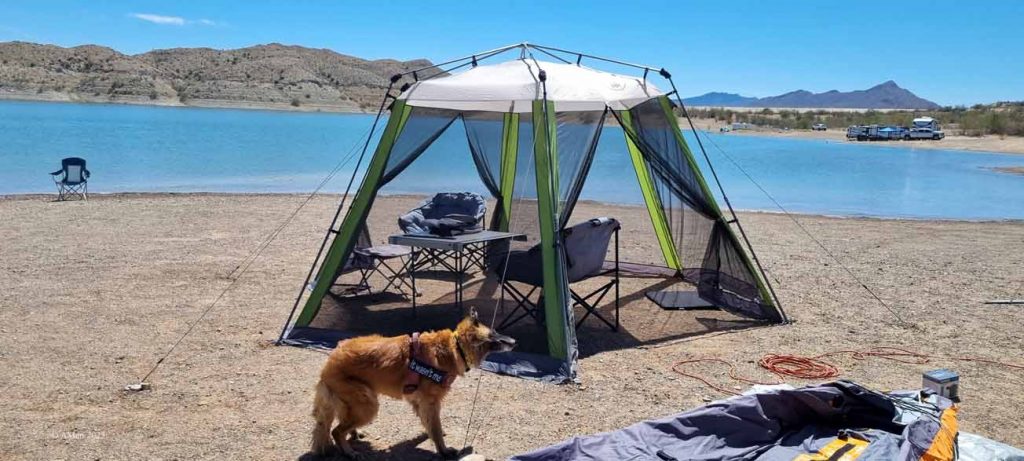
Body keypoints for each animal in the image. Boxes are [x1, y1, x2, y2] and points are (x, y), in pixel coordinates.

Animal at [310, 313, 516, 459]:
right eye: (494, 335)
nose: (515, 342)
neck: (454, 347)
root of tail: (330, 361)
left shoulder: (418, 401)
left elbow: (429, 423)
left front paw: (428, 435)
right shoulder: (430, 402)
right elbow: (435, 426)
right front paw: (443, 450)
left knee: (342, 423)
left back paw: (353, 434)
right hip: (368, 405)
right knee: (336, 431)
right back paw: (348, 451)